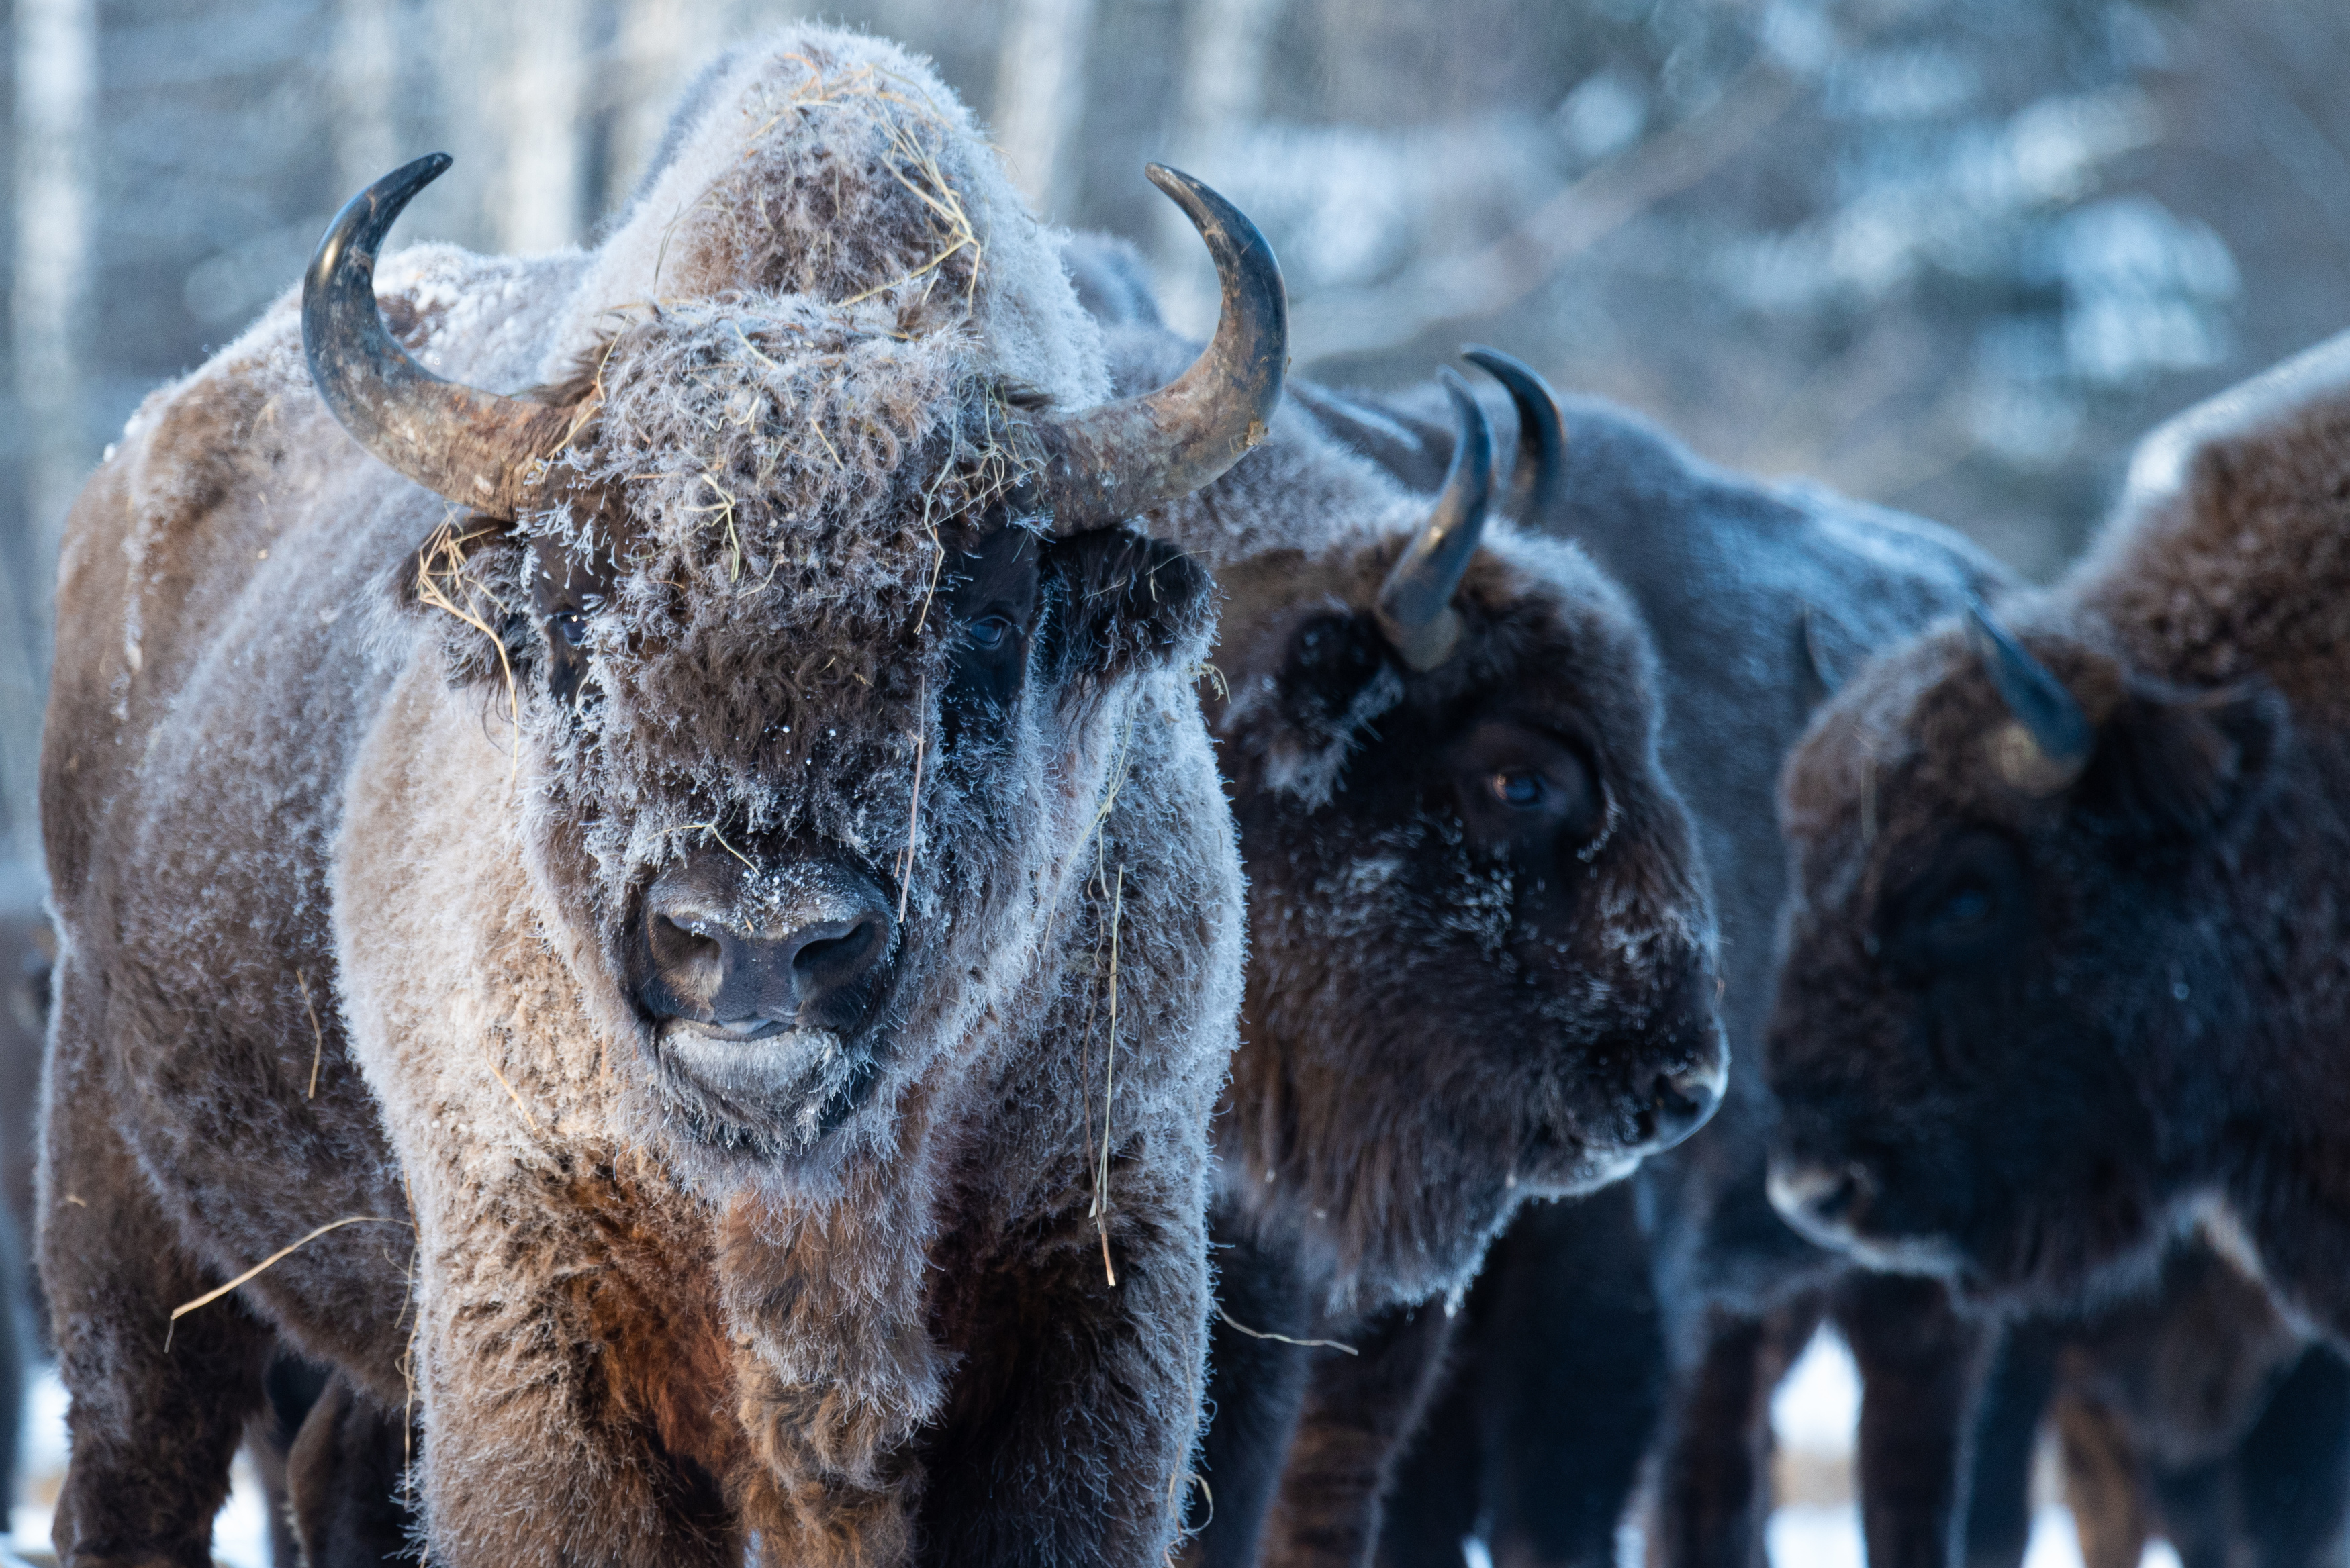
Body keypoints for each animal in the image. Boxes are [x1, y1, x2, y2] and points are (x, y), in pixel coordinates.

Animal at [36, 28, 1288, 1568]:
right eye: (575, 617)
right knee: (136, 1466)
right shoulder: (532, 1298)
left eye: (988, 615)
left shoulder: (1105, 1280)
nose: (757, 940)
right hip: (120, 1228)